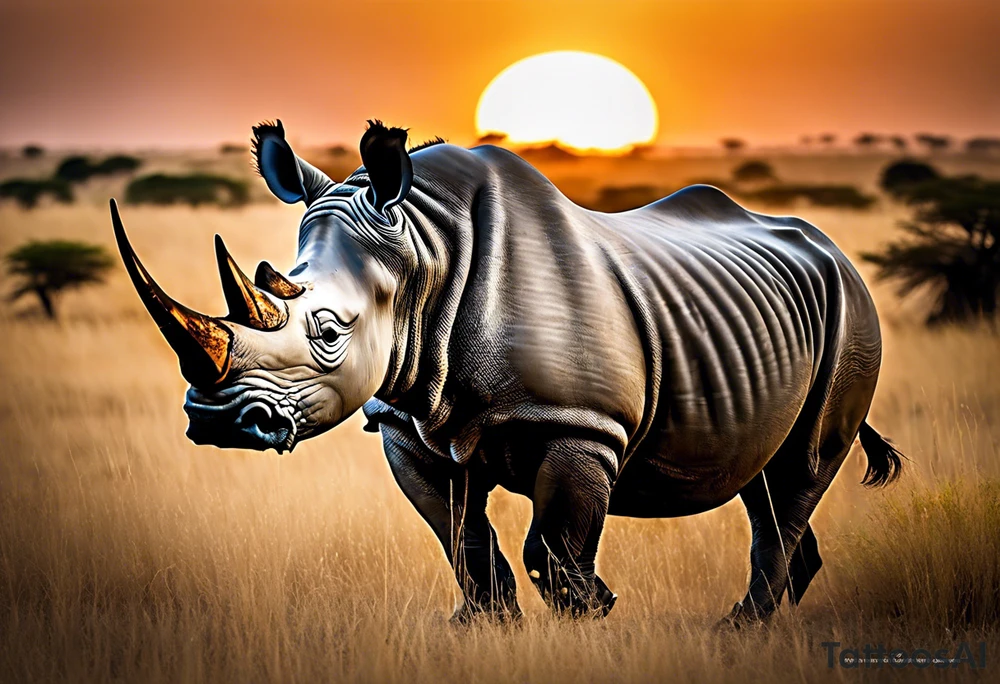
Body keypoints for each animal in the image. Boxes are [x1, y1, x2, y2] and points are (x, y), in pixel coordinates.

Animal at [111, 120, 903, 624]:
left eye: (329, 332)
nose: (215, 421)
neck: (424, 253)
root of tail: (833, 250)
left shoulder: (582, 428)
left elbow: (553, 555)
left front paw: (594, 614)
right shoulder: (408, 425)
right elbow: (464, 544)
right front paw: (486, 629)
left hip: (854, 311)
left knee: (800, 470)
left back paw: (732, 633)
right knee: (765, 486)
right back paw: (751, 633)